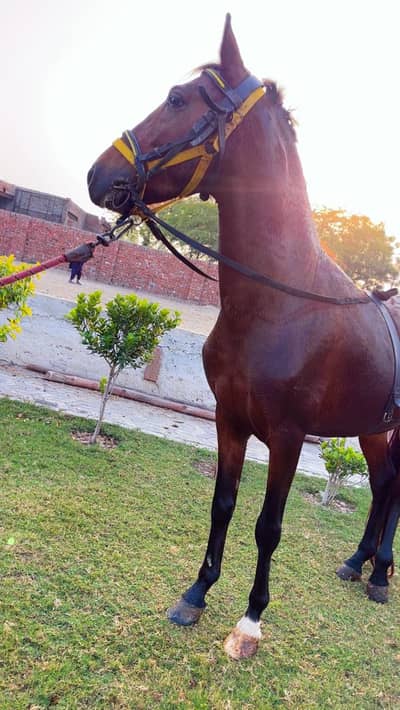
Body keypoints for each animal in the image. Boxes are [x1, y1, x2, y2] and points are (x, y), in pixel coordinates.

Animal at [86, 15, 400, 659]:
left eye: (177, 99)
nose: (99, 174)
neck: (279, 304)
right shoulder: (229, 420)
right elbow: (223, 506)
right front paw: (196, 593)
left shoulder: (287, 438)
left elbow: (268, 526)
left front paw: (251, 619)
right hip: (370, 428)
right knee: (384, 486)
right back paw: (362, 565)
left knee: (396, 490)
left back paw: (380, 573)